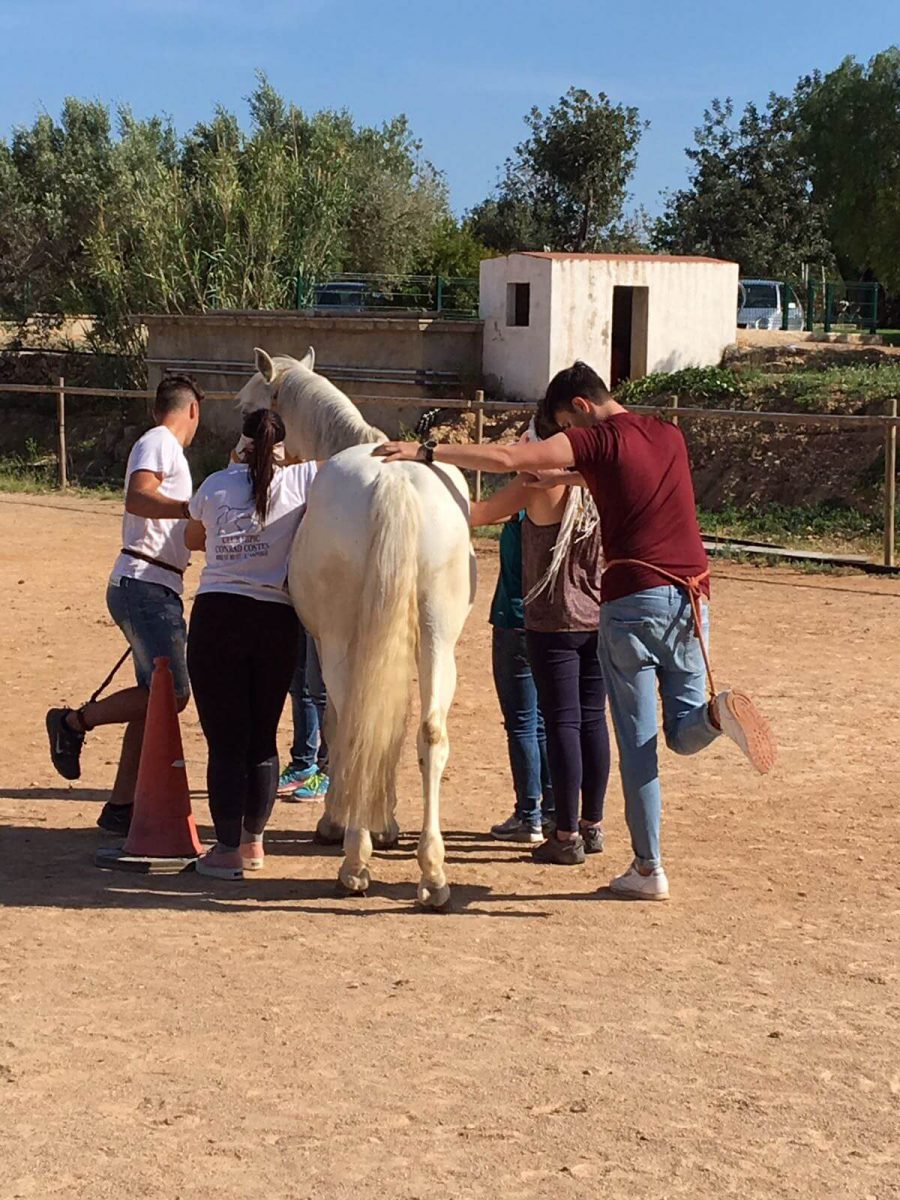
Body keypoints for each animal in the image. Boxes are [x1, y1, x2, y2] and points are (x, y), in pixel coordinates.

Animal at [240, 348, 480, 907]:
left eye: (246, 406)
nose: (239, 456)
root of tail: (393, 481)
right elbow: (395, 725)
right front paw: (386, 823)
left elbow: (342, 725)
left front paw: (347, 824)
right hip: (438, 642)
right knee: (430, 733)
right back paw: (432, 876)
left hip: (338, 645)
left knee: (351, 724)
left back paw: (353, 860)